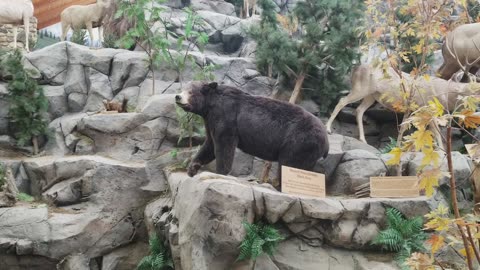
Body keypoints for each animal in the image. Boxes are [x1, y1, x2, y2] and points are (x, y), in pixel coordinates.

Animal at [176, 82, 330, 187]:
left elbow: (224, 145)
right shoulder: (210, 120)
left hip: (300, 141)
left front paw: (220, 172)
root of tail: (326, 141)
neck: (210, 105)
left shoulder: (227, 116)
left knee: (290, 163)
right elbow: (209, 145)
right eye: (183, 89)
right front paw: (192, 168)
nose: (178, 97)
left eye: (190, 92)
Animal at [324, 64, 480, 148]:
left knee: (359, 110)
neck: (445, 95)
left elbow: (414, 129)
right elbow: (436, 132)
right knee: (342, 101)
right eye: (472, 90)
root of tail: (354, 70)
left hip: (371, 95)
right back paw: (328, 129)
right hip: (361, 89)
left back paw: (363, 139)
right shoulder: (428, 108)